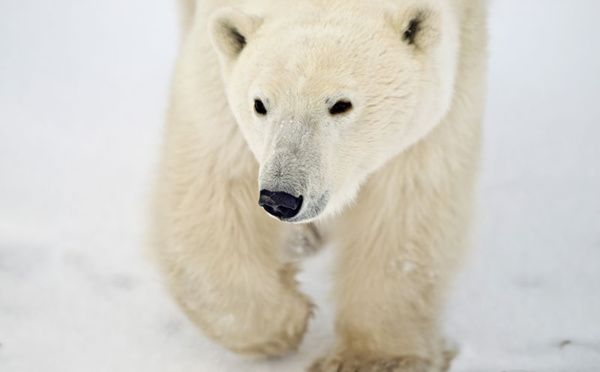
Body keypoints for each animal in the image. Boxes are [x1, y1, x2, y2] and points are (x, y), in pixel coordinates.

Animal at [154, 0, 488, 370]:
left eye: (341, 105)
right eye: (259, 104)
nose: (280, 198)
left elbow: (404, 208)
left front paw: (371, 359)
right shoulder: (215, 81)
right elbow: (213, 183)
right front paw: (284, 323)